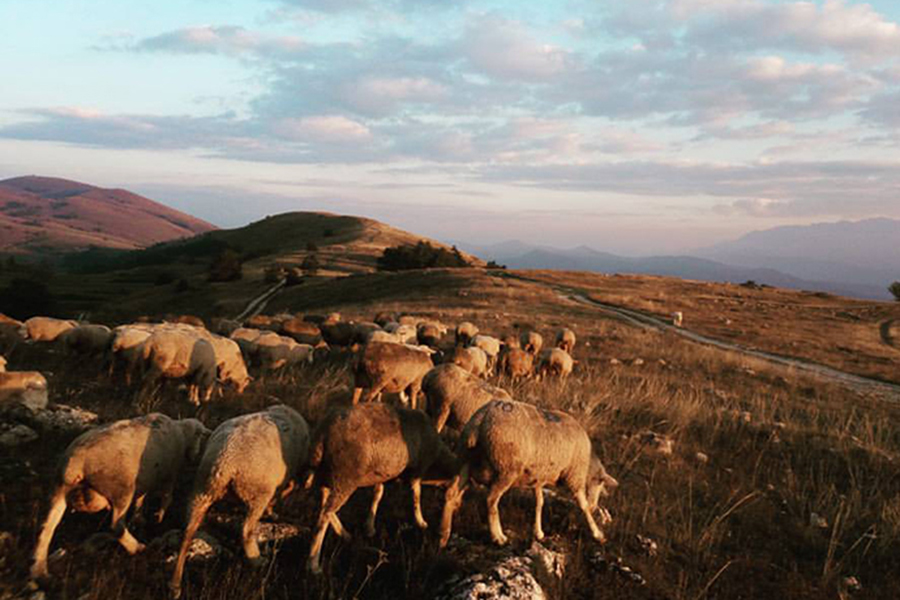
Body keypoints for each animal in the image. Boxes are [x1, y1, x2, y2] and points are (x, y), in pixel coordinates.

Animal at [31, 413, 210, 581]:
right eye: (199, 437)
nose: (195, 457)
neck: (182, 432)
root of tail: (76, 463)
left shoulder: (145, 480)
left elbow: (140, 500)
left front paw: (139, 517)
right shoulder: (169, 474)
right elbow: (167, 497)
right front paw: (159, 517)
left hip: (59, 489)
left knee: (47, 527)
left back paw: (39, 570)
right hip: (121, 490)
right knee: (117, 526)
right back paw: (136, 547)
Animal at [170, 405, 309, 598]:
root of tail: (225, 462)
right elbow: (282, 492)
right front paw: (272, 512)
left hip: (201, 489)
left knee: (188, 532)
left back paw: (175, 585)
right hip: (258, 493)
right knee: (246, 529)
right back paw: (257, 560)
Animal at [306, 402, 457, 574]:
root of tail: (322, 432)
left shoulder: (383, 473)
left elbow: (377, 495)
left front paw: (369, 527)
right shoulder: (418, 469)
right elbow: (416, 495)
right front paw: (421, 522)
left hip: (327, 474)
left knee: (324, 505)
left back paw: (344, 534)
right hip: (345, 477)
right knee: (324, 515)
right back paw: (313, 563)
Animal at [439, 399, 618, 548]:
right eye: (600, 483)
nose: (595, 506)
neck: (588, 465)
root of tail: (480, 419)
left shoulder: (538, 477)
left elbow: (539, 503)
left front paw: (538, 532)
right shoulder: (574, 476)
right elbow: (583, 506)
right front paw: (598, 534)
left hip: (465, 460)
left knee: (451, 493)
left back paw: (443, 536)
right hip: (507, 468)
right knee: (491, 500)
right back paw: (498, 537)